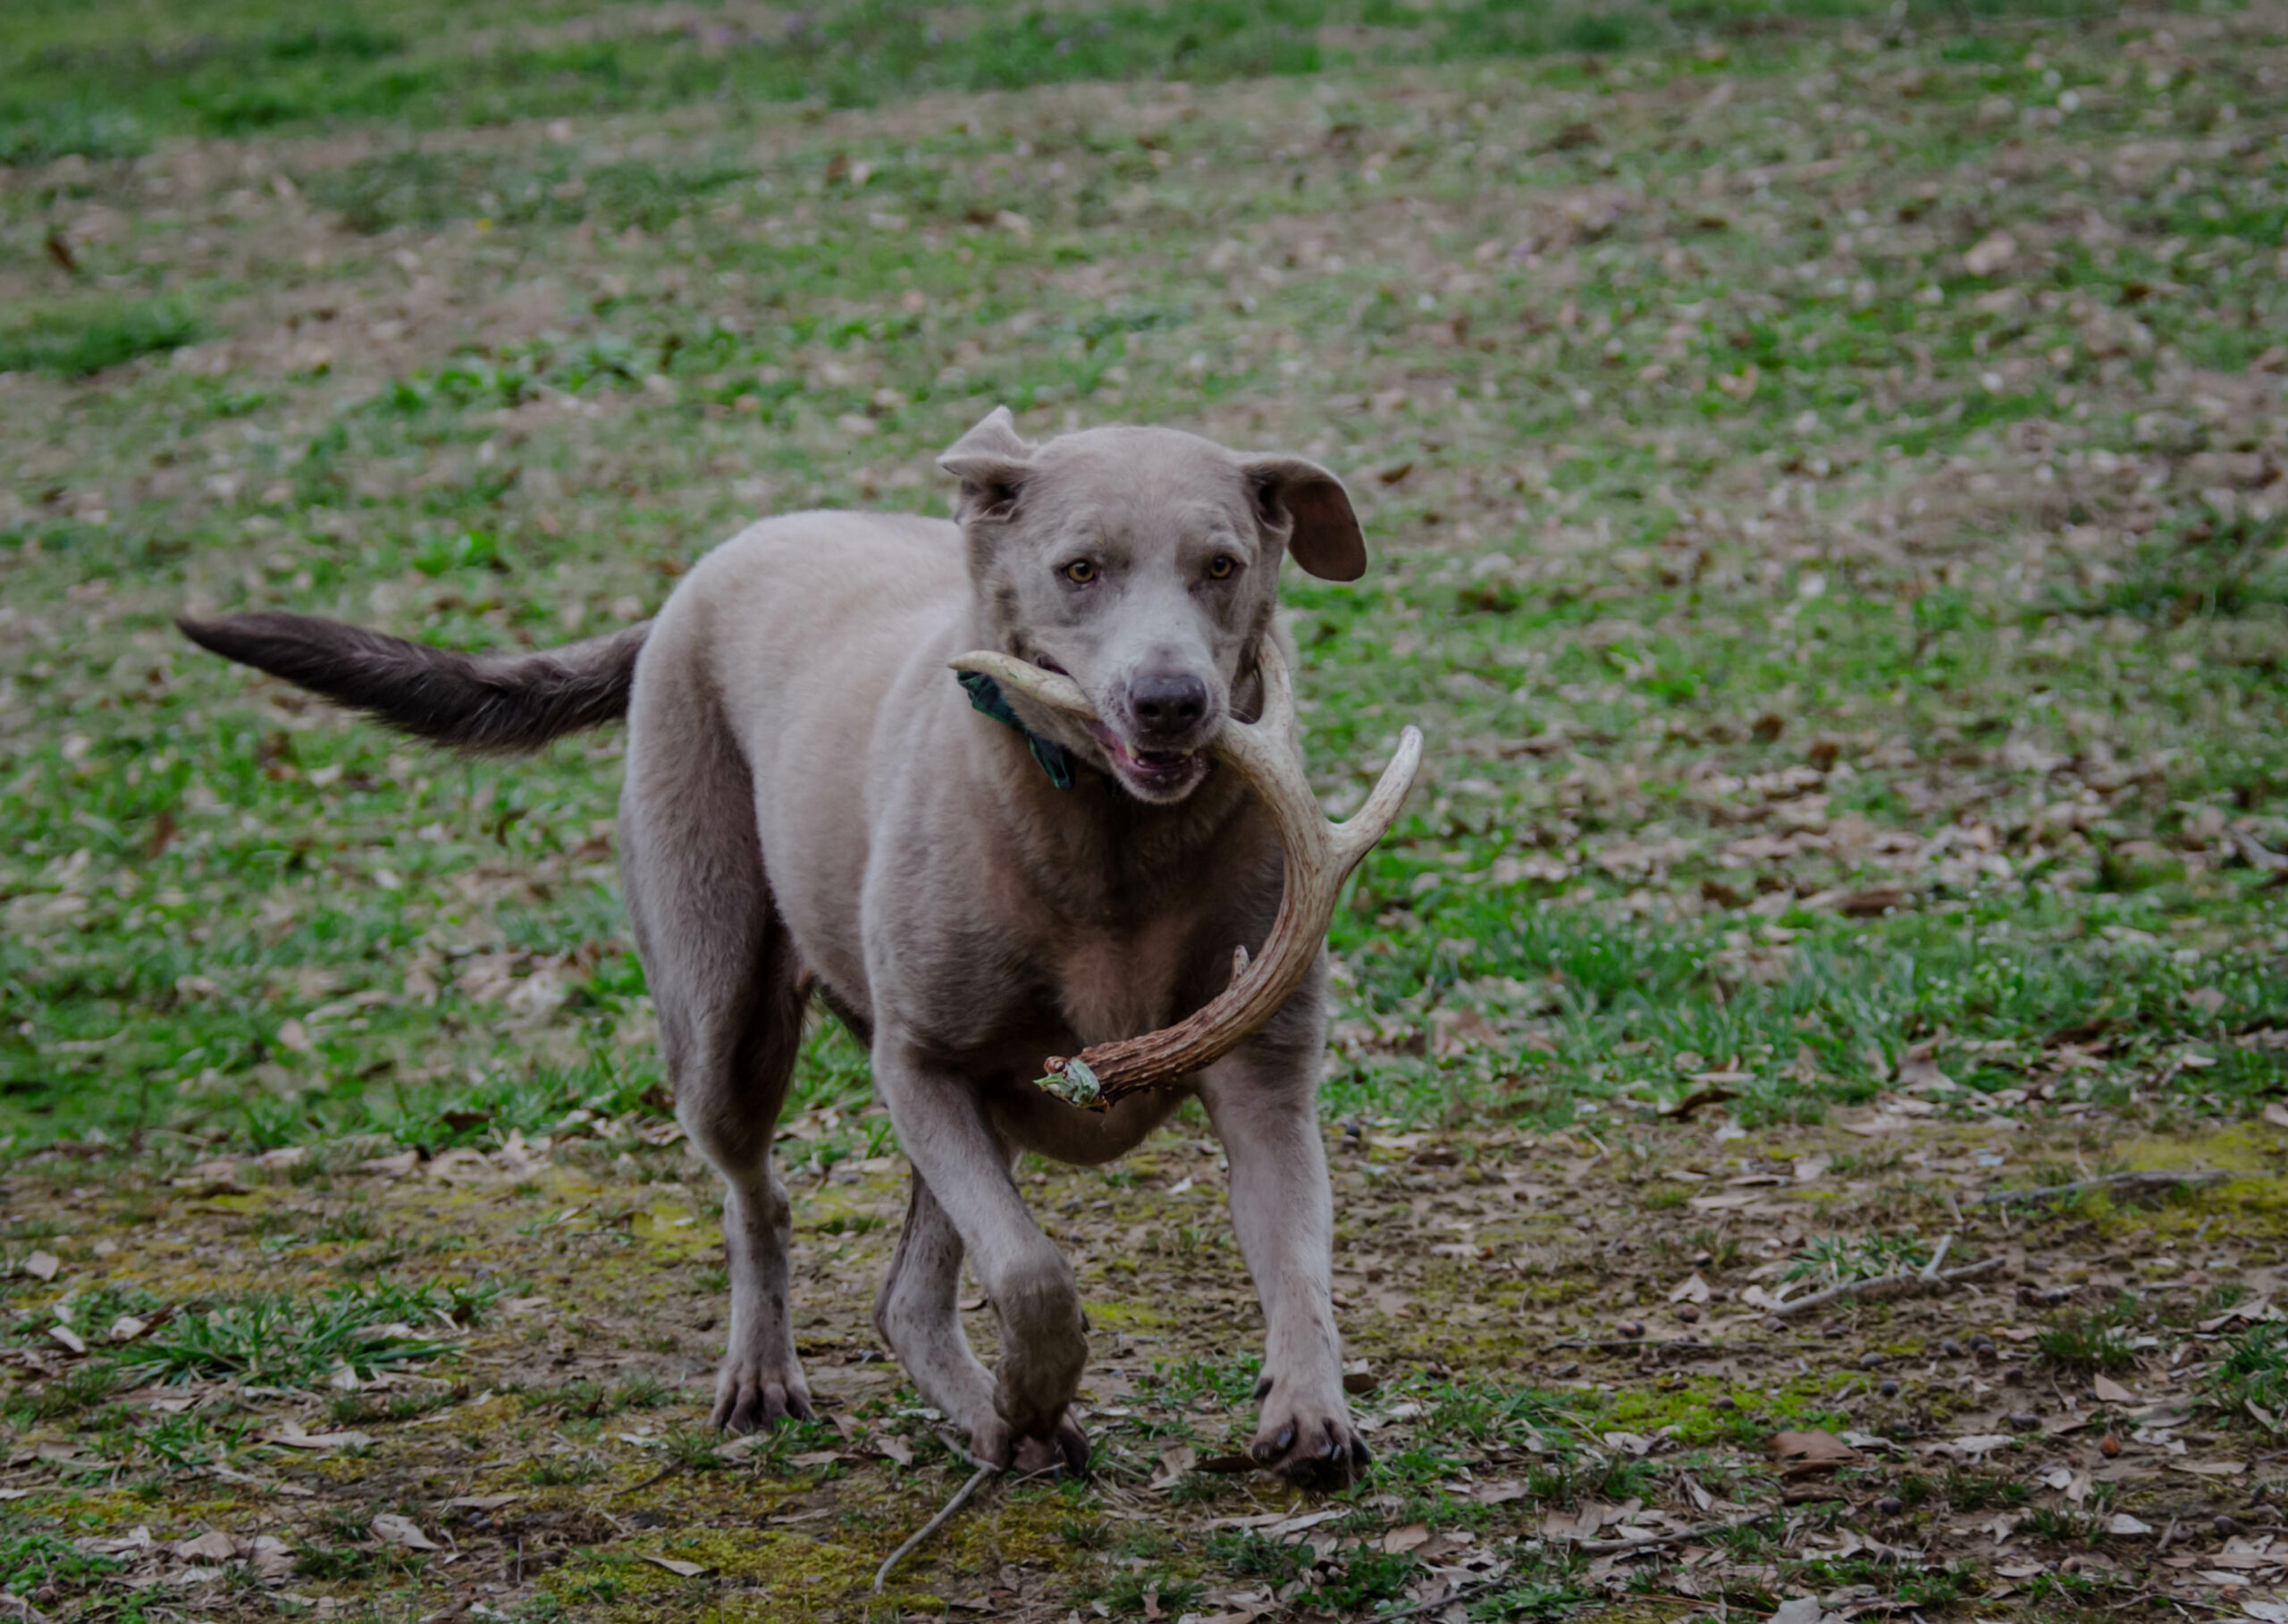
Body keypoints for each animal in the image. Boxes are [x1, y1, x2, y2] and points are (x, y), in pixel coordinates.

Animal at [178, 407, 1373, 1491]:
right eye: (1079, 568)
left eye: (1220, 565)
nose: (1171, 701)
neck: (1106, 833)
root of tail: (703, 572)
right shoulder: (923, 1064)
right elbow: (1033, 1272)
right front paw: (1036, 1394)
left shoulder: (1263, 1076)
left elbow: (1299, 1262)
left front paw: (1308, 1408)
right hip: (722, 1013)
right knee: (757, 1196)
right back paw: (780, 1379)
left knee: (904, 1298)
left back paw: (982, 1414)